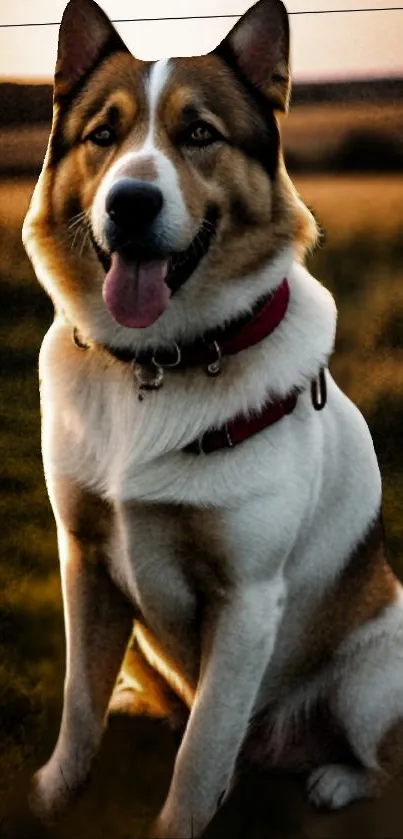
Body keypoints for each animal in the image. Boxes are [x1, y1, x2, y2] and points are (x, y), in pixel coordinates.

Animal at [22, 0, 403, 836]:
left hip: (369, 681)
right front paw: (49, 797)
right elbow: (77, 705)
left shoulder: (248, 600)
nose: (130, 203)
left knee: (376, 760)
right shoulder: (84, 561)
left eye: (199, 133)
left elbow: (200, 753)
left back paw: (332, 779)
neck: (157, 364)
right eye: (103, 134)